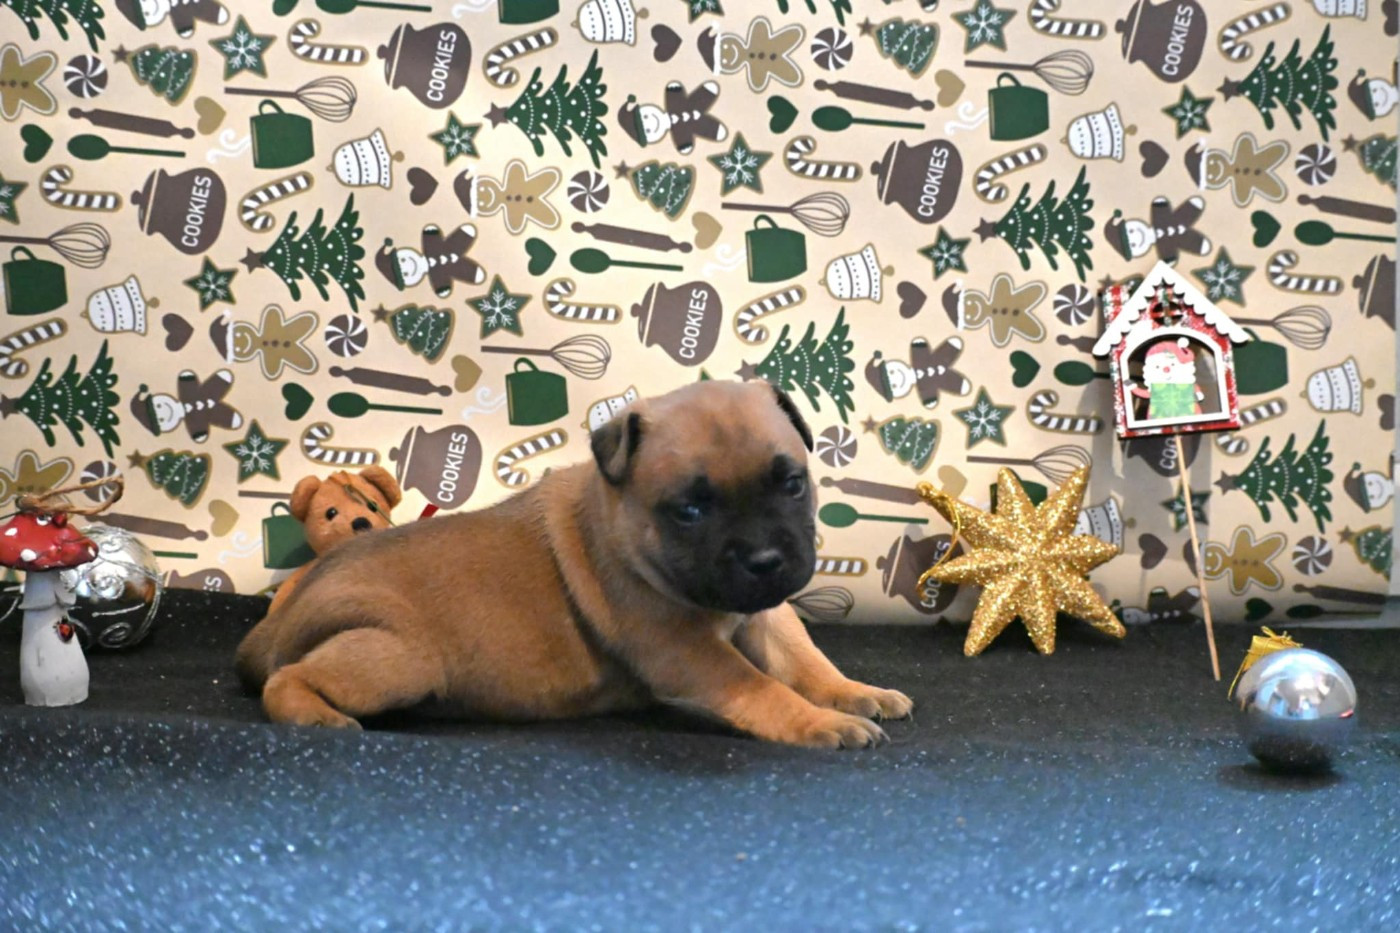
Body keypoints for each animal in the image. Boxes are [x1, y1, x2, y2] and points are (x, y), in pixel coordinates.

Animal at [235, 381, 912, 748]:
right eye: (689, 510)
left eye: (793, 484)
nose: (766, 560)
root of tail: (279, 624)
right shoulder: (683, 648)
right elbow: (761, 685)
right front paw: (818, 722)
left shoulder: (763, 614)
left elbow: (804, 658)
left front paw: (853, 694)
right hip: (399, 657)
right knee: (287, 680)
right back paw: (317, 715)